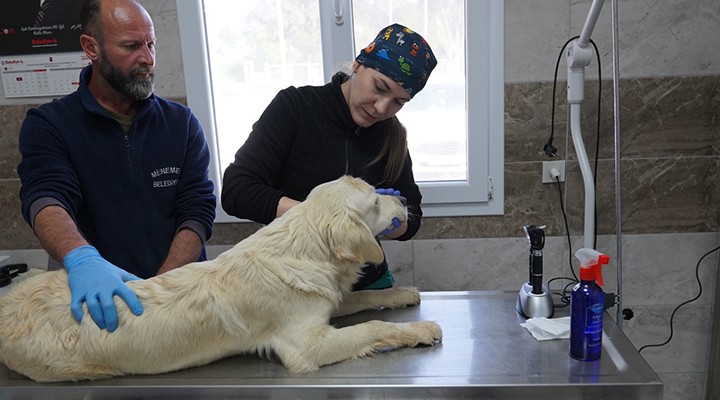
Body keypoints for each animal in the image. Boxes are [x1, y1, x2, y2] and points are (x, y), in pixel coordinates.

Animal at [0, 177, 442, 382]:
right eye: (375, 201)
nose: (404, 198)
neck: (304, 245)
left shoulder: (326, 300)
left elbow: (361, 299)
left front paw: (402, 293)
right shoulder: (305, 345)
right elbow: (373, 327)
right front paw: (420, 329)